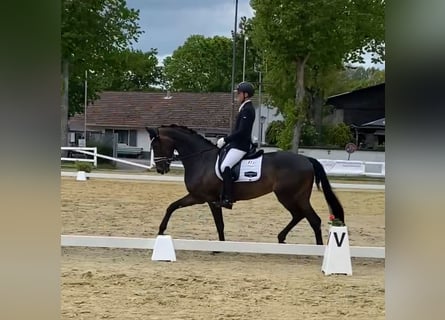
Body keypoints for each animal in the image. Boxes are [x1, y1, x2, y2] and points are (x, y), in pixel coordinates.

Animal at [146, 125, 344, 245]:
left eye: (156, 145)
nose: (161, 169)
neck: (201, 159)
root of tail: (307, 159)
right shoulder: (202, 198)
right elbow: (173, 207)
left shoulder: (203, 198)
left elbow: (216, 222)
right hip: (290, 197)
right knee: (299, 215)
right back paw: (281, 238)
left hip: (290, 196)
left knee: (312, 219)